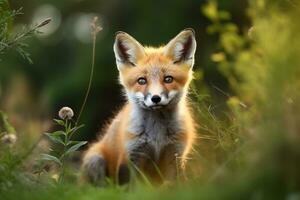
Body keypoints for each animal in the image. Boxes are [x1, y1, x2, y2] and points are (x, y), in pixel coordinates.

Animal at [81, 28, 197, 186]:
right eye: (142, 81)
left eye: (168, 79)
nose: (156, 98)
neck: (157, 136)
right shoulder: (132, 157)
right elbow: (135, 187)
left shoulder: (175, 155)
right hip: (96, 159)